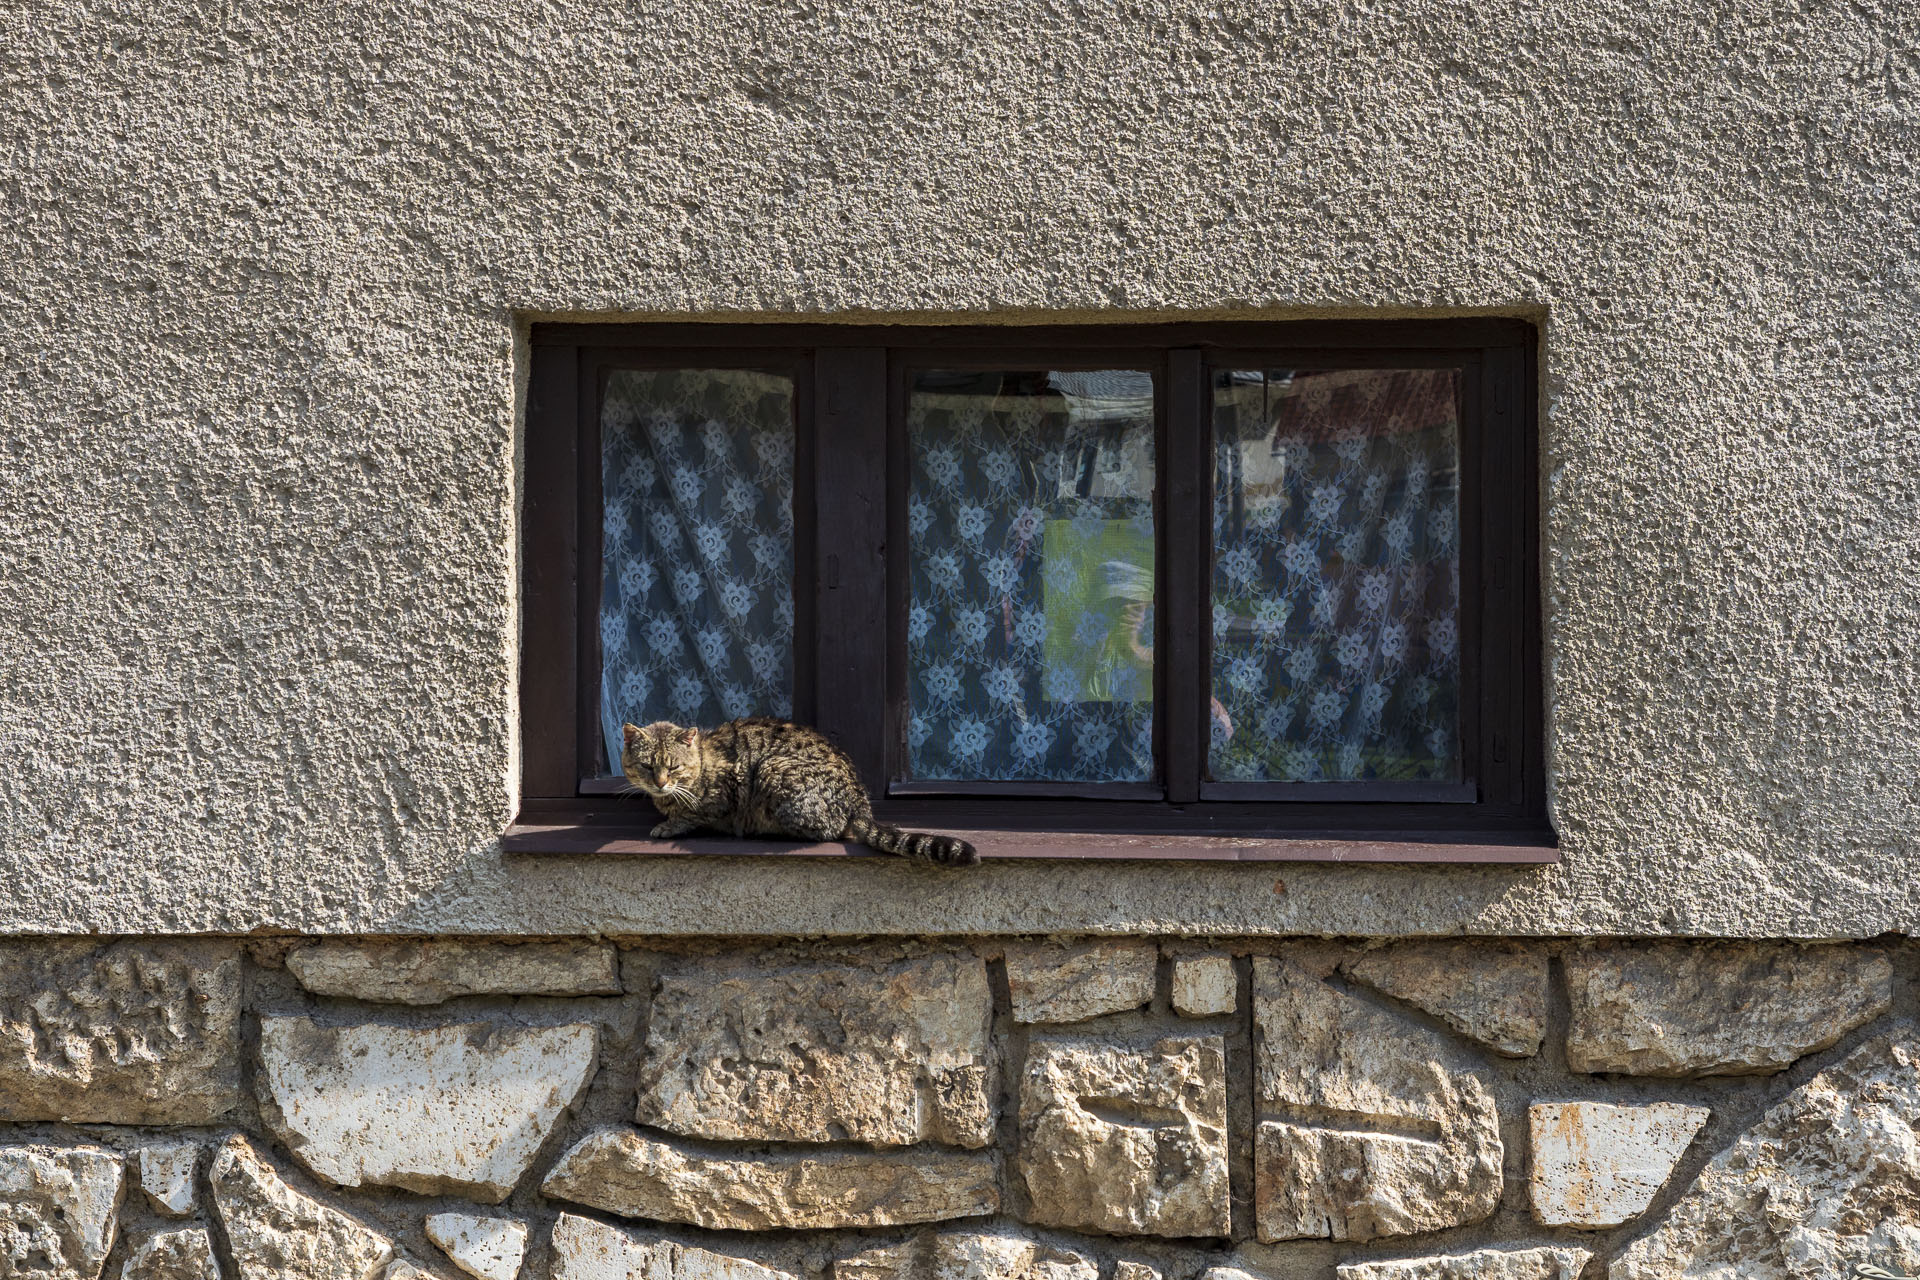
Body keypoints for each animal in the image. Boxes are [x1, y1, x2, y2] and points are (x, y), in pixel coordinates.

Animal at [622, 721, 983, 871]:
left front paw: (668, 825)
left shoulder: (725, 792)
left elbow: (693, 814)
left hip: (773, 769)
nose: (660, 783)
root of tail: (858, 794)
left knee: (828, 830)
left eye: (673, 766)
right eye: (647, 766)